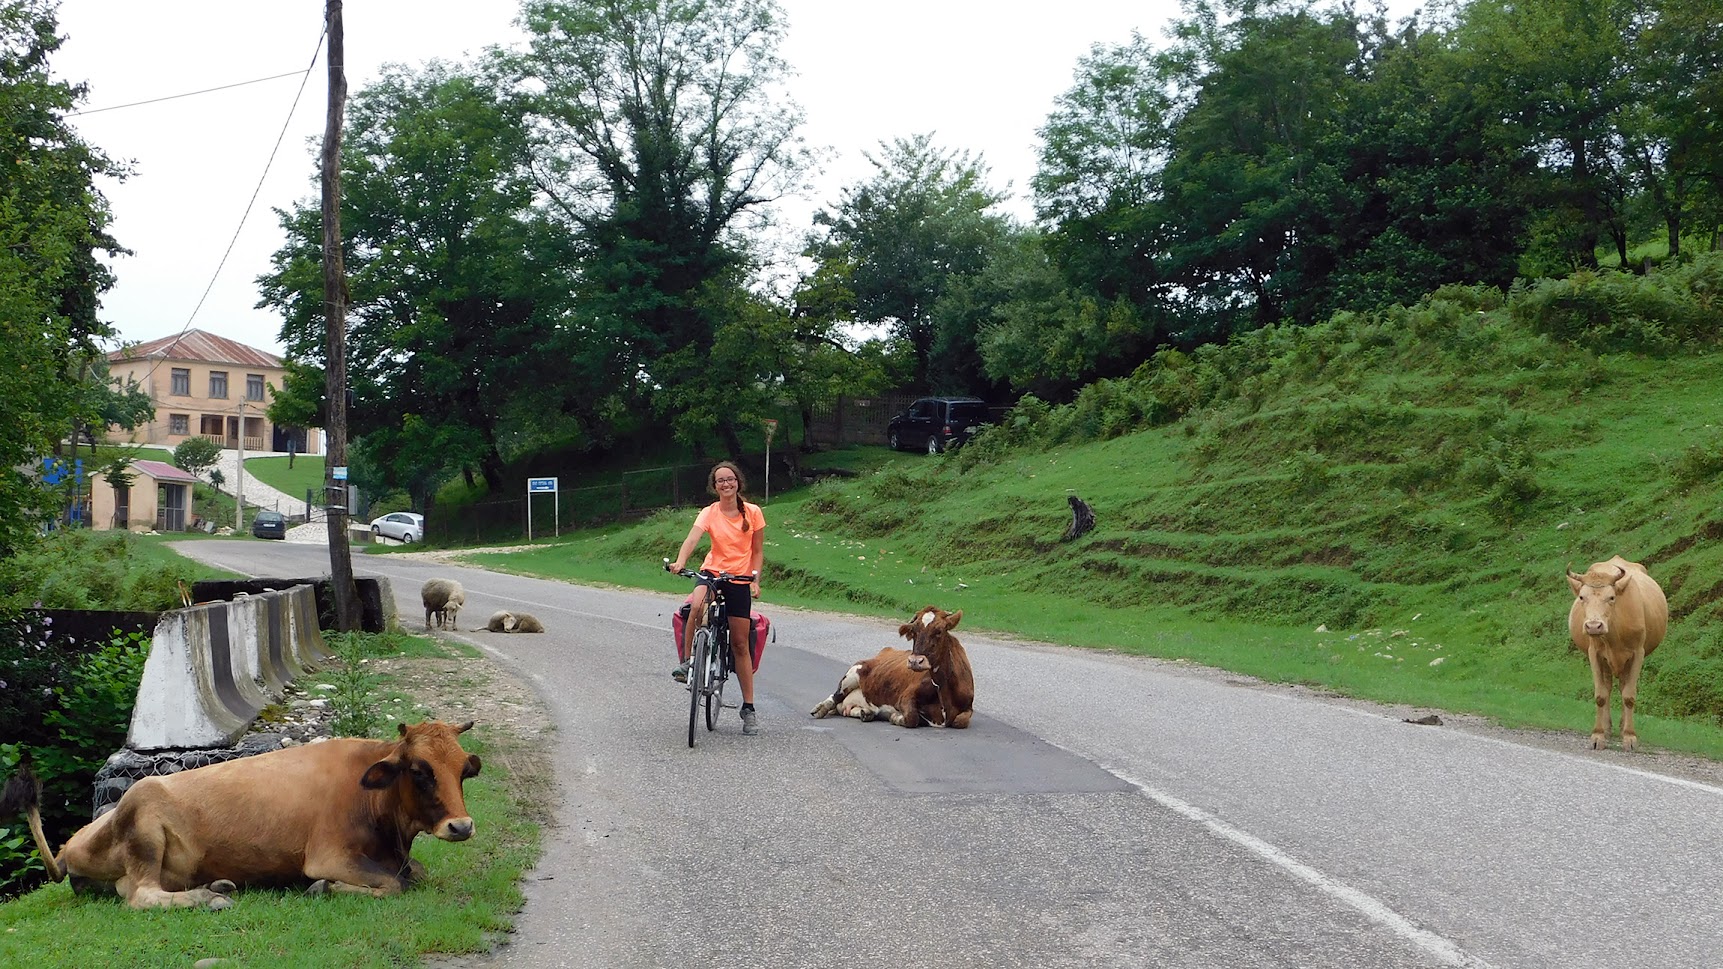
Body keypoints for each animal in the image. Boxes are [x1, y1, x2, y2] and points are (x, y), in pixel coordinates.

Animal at [0, 717, 482, 903]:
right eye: (419, 771)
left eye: (463, 770)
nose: (461, 826)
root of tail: (70, 846)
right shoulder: (329, 856)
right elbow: (395, 885)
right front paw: (323, 887)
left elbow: (416, 873)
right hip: (142, 815)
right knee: (142, 895)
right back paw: (208, 897)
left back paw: (217, 884)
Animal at [806, 603, 971, 724]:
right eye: (913, 632)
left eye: (939, 631)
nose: (915, 661)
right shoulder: (905, 697)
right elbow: (912, 717)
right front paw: (895, 717)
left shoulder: (968, 708)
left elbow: (960, 721)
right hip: (852, 673)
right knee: (834, 697)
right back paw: (820, 709)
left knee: (843, 708)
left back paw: (866, 713)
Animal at [1564, 555, 1667, 751]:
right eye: (1582, 597)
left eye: (1611, 597)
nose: (1593, 626)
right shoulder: (1594, 653)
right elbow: (1600, 695)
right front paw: (1598, 735)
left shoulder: (1638, 653)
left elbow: (1629, 695)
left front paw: (1630, 736)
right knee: (1609, 687)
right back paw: (1607, 727)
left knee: (1622, 687)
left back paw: (1621, 726)